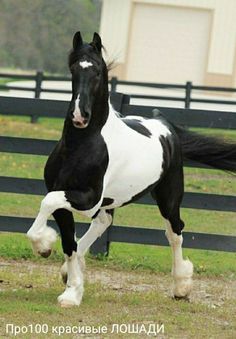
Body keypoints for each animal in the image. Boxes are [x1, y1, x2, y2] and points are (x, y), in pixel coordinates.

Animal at [26, 32, 236, 308]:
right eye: (73, 68)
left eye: (97, 70)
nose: (80, 116)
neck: (81, 144)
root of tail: (164, 124)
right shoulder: (67, 196)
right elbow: (68, 242)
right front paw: (70, 286)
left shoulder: (88, 199)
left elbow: (48, 203)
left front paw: (46, 250)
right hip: (111, 200)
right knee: (103, 222)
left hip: (168, 197)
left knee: (175, 232)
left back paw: (181, 286)